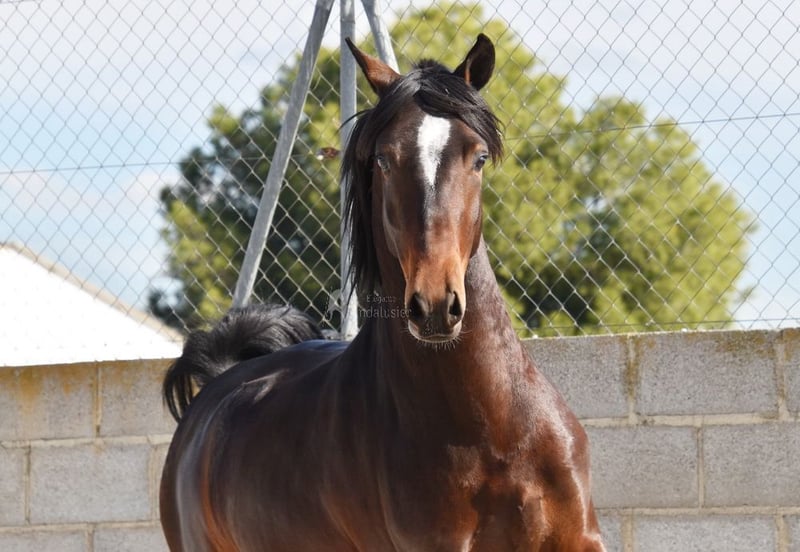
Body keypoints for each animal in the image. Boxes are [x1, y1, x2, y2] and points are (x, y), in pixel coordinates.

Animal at [160, 34, 606, 552]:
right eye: (383, 159)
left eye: (477, 157)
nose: (435, 306)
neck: (492, 430)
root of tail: (216, 385)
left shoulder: (579, 539)